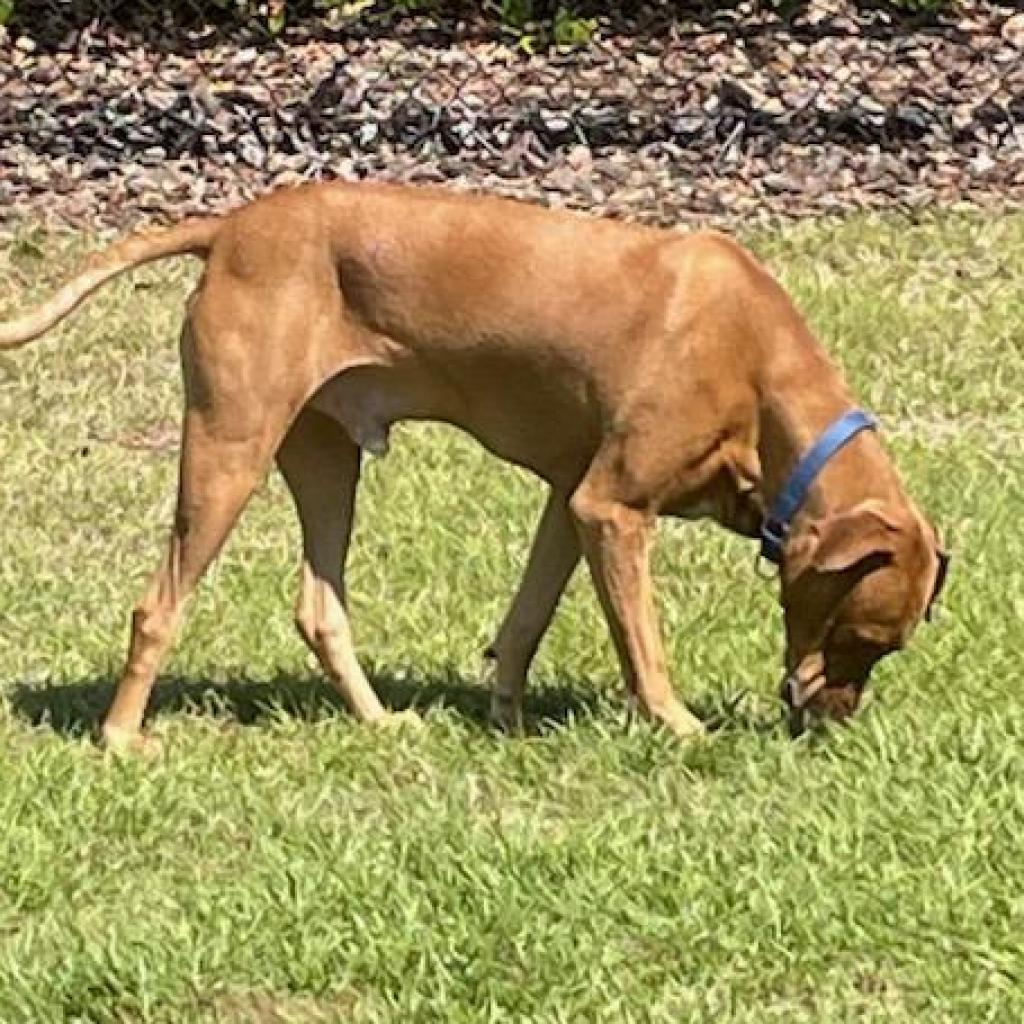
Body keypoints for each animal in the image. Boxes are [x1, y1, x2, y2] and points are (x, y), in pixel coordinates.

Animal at [0, 180, 946, 749]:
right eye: (861, 637)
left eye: (886, 650)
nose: (828, 725)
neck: (758, 368)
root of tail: (232, 226)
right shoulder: (612, 507)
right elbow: (642, 641)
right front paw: (677, 725)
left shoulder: (572, 501)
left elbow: (527, 619)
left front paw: (506, 716)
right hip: (230, 446)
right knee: (158, 604)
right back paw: (122, 737)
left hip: (324, 456)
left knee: (320, 607)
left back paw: (379, 720)